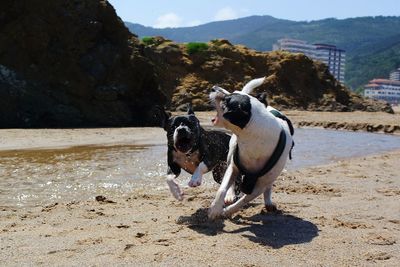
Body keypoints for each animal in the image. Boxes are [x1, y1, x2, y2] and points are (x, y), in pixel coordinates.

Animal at [209, 77, 294, 220]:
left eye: (226, 100)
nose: (213, 87)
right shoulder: (233, 166)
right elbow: (223, 188)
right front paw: (215, 209)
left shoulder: (259, 186)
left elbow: (244, 200)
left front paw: (227, 212)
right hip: (231, 155)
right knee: (231, 178)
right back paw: (230, 195)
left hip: (270, 178)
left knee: (268, 188)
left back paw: (268, 203)